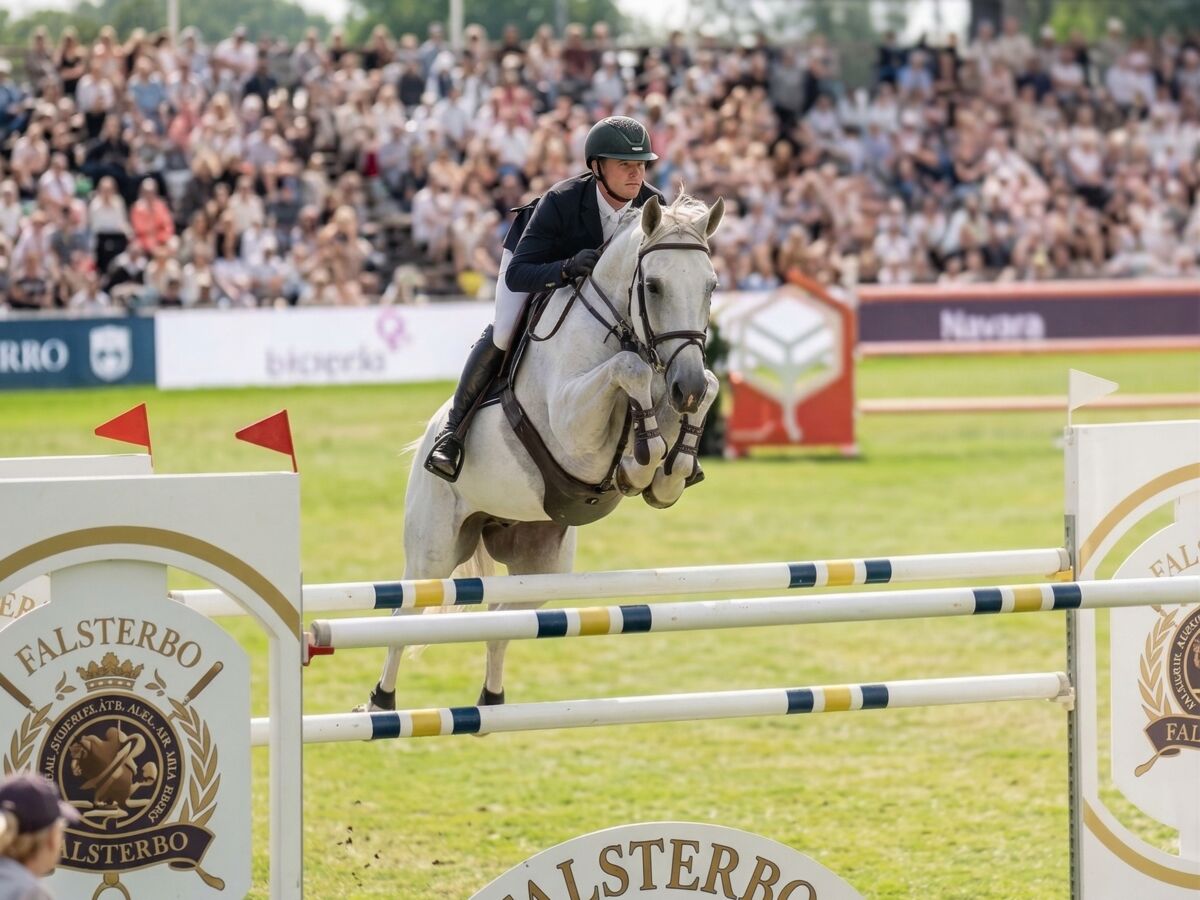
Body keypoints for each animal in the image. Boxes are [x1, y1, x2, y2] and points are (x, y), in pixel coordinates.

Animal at [360, 193, 725, 712]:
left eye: (711, 286)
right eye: (653, 286)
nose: (685, 388)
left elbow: (702, 393)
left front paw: (671, 468)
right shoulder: (573, 430)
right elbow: (629, 371)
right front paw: (641, 458)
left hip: (541, 567)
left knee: (503, 619)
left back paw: (491, 701)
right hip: (433, 551)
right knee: (401, 619)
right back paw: (381, 702)